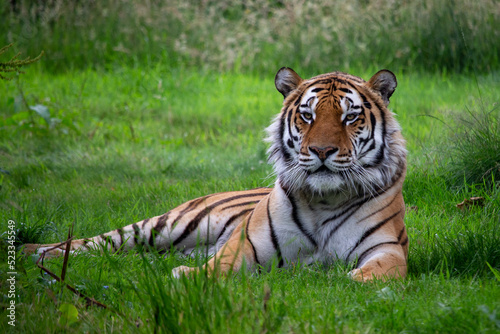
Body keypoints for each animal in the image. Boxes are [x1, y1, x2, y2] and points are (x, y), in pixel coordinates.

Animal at [24, 68, 406, 282]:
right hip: (167, 226)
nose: (322, 151)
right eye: (307, 116)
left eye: (349, 117)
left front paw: (352, 279)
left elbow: (379, 273)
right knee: (96, 242)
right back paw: (40, 254)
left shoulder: (386, 248)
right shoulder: (247, 243)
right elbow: (219, 266)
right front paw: (189, 277)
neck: (325, 199)